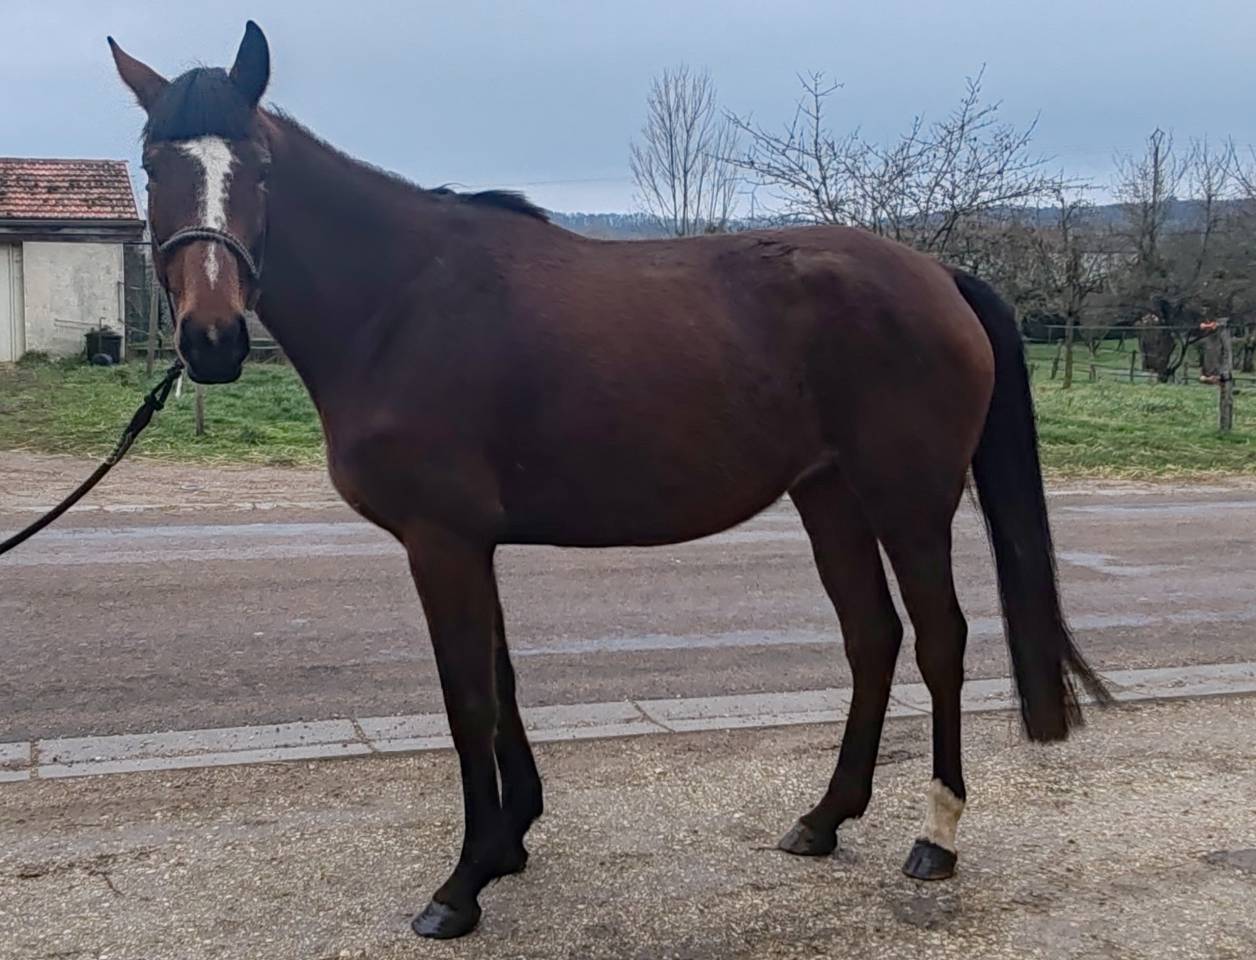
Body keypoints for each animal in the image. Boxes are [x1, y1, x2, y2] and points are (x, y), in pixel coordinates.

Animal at [109, 22, 1109, 940]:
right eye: (154, 165)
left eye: (259, 167)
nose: (211, 339)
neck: (401, 301)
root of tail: (935, 272)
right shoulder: (471, 541)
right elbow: (502, 680)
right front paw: (509, 841)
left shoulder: (442, 541)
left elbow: (467, 696)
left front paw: (460, 886)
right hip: (828, 496)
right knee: (873, 638)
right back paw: (824, 819)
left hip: (909, 501)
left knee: (941, 640)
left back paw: (936, 835)